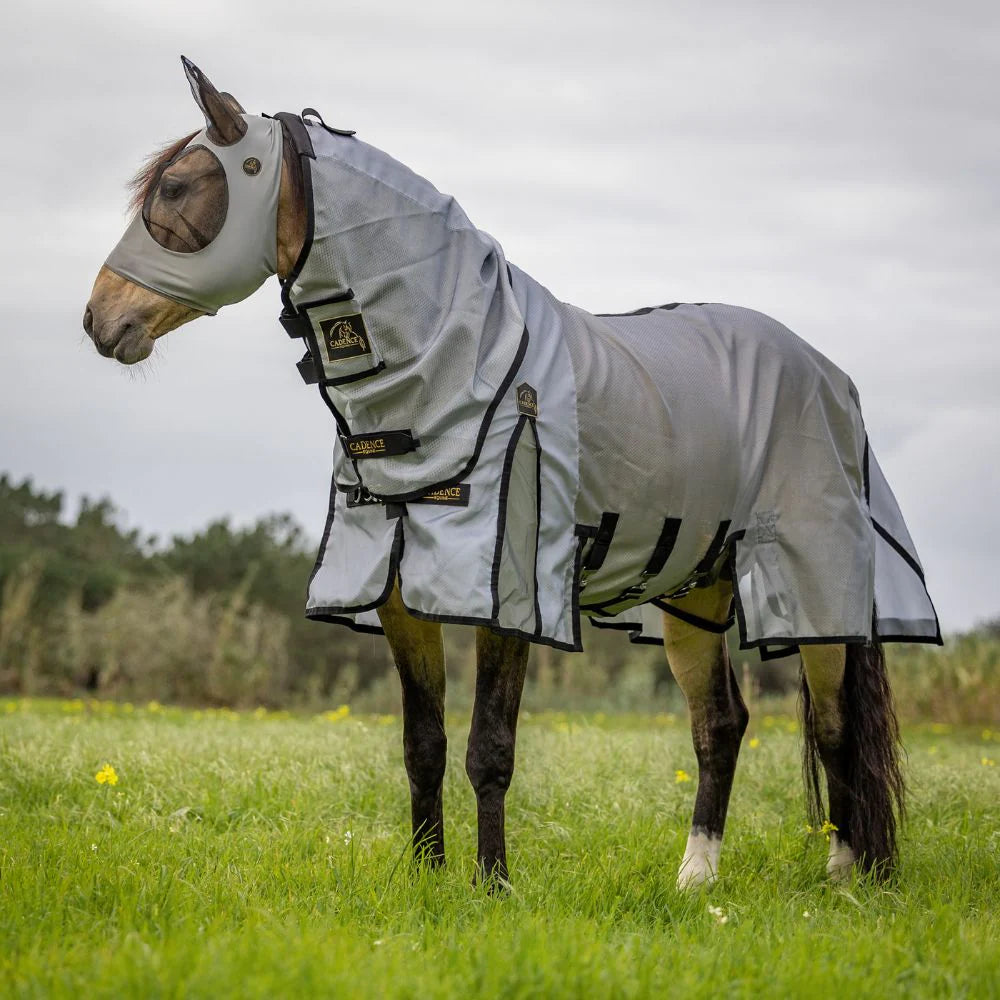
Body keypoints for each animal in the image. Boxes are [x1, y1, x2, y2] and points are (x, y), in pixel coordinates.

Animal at [84, 56, 936, 884]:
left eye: (176, 187)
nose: (98, 320)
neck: (455, 368)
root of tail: (829, 377)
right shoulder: (400, 593)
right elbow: (423, 745)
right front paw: (426, 878)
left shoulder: (509, 591)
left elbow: (489, 748)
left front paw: (492, 883)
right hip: (696, 590)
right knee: (721, 724)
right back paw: (697, 878)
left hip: (813, 583)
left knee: (836, 724)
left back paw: (846, 873)